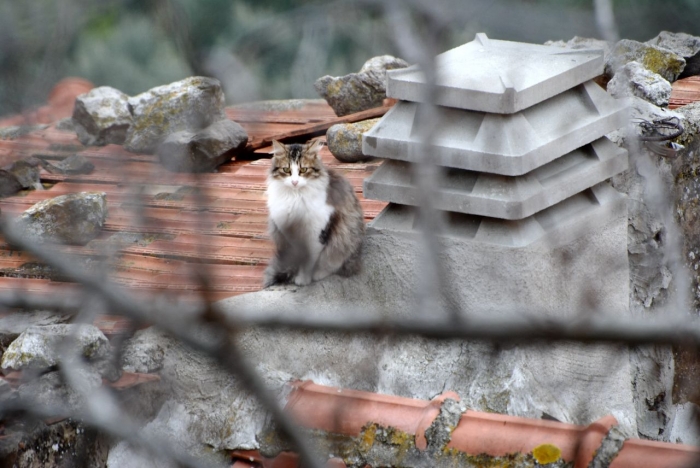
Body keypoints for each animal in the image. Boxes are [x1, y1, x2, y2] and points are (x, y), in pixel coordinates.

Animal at [264, 137, 366, 288]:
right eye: (286, 169)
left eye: (303, 169)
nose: (294, 182)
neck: (295, 196)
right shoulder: (290, 234)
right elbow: (299, 257)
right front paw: (298, 276)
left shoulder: (316, 233)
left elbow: (309, 260)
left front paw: (304, 279)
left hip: (345, 239)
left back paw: (318, 274)